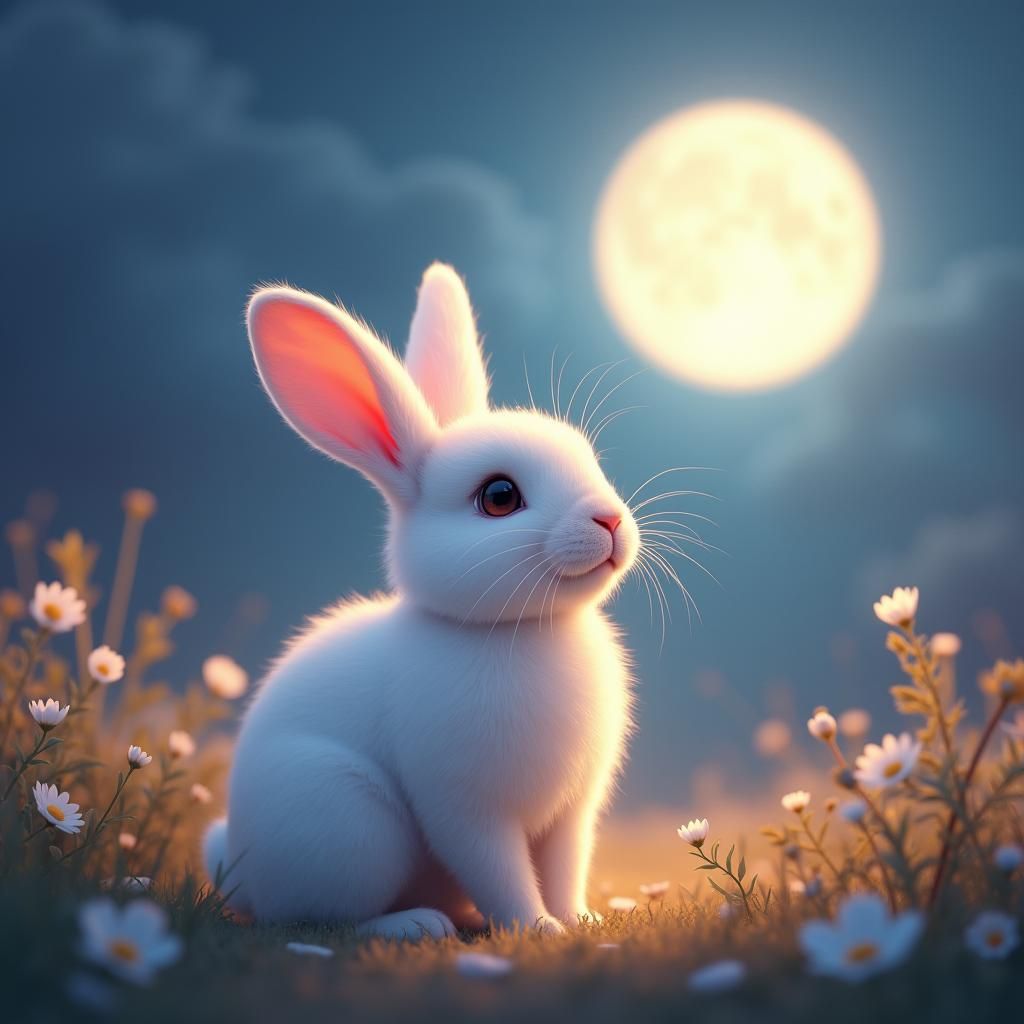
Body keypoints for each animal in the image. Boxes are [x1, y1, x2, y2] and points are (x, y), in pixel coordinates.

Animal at [203, 263, 640, 939]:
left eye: (590, 459)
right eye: (498, 497)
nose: (610, 520)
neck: (522, 627)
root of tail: (241, 871)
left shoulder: (572, 813)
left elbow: (565, 869)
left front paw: (582, 921)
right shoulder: (465, 810)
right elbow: (502, 875)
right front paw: (538, 929)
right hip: (347, 822)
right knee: (316, 919)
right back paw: (417, 925)